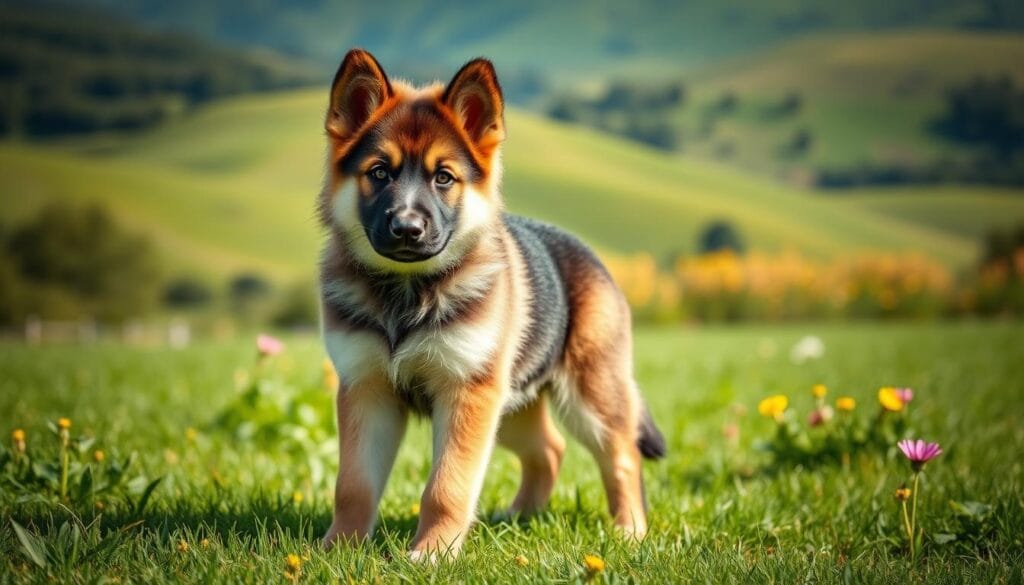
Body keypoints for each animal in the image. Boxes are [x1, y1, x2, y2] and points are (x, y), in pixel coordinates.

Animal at [323, 49, 667, 557]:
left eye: (444, 178)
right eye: (379, 173)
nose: (407, 229)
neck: (408, 291)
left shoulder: (468, 392)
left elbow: (447, 485)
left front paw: (432, 553)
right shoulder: (367, 390)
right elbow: (353, 484)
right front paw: (338, 548)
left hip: (587, 394)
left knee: (622, 454)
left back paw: (630, 530)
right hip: (510, 406)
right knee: (550, 449)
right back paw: (520, 515)